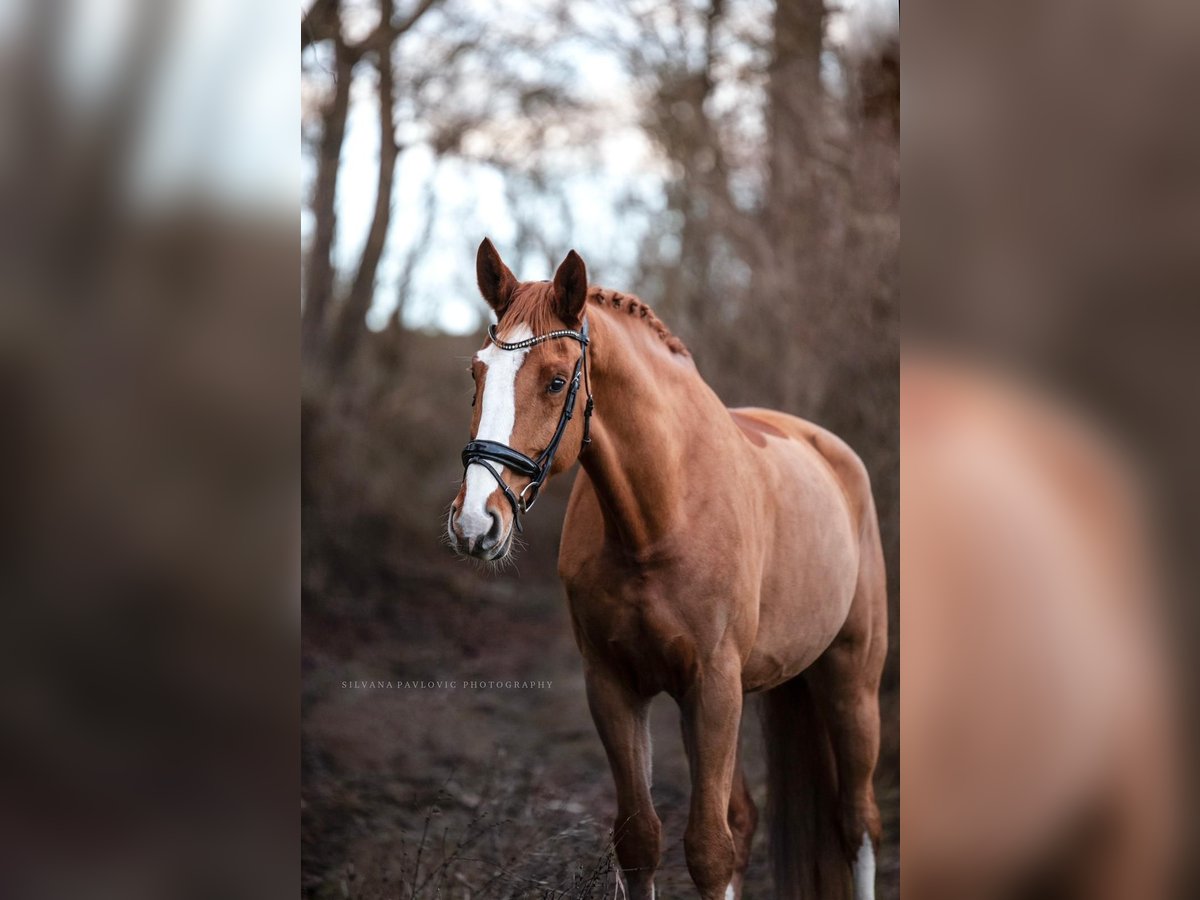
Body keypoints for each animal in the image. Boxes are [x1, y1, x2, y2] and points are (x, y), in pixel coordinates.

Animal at [446, 241, 888, 900]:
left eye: (556, 381)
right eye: (476, 375)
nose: (475, 522)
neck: (660, 518)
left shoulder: (712, 686)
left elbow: (707, 849)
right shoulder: (615, 686)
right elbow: (641, 840)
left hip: (850, 681)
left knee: (856, 821)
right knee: (747, 820)